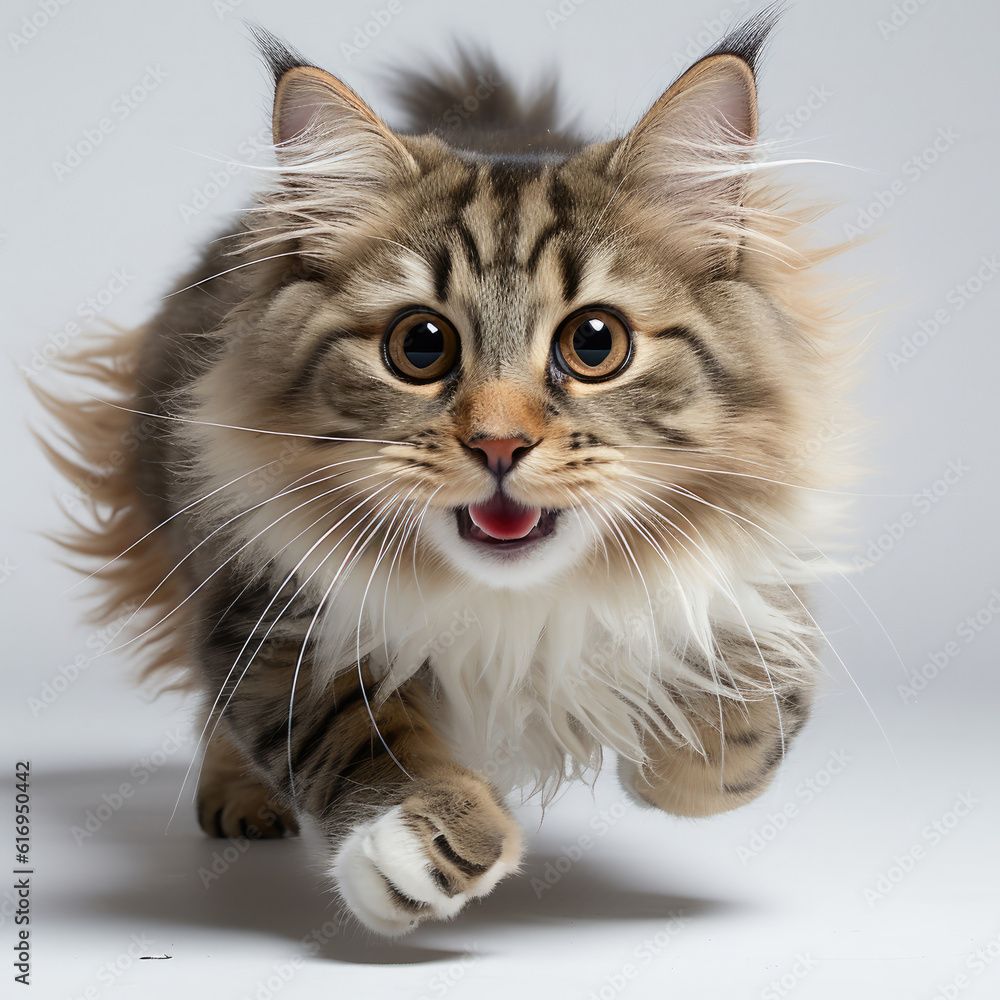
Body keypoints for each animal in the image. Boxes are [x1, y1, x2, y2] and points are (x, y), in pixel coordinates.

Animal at [37, 7, 852, 932]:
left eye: (595, 343)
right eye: (420, 346)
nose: (499, 444)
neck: (516, 604)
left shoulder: (751, 585)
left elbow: (744, 732)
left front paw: (664, 761)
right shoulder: (267, 603)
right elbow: (351, 730)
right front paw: (419, 842)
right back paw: (239, 799)